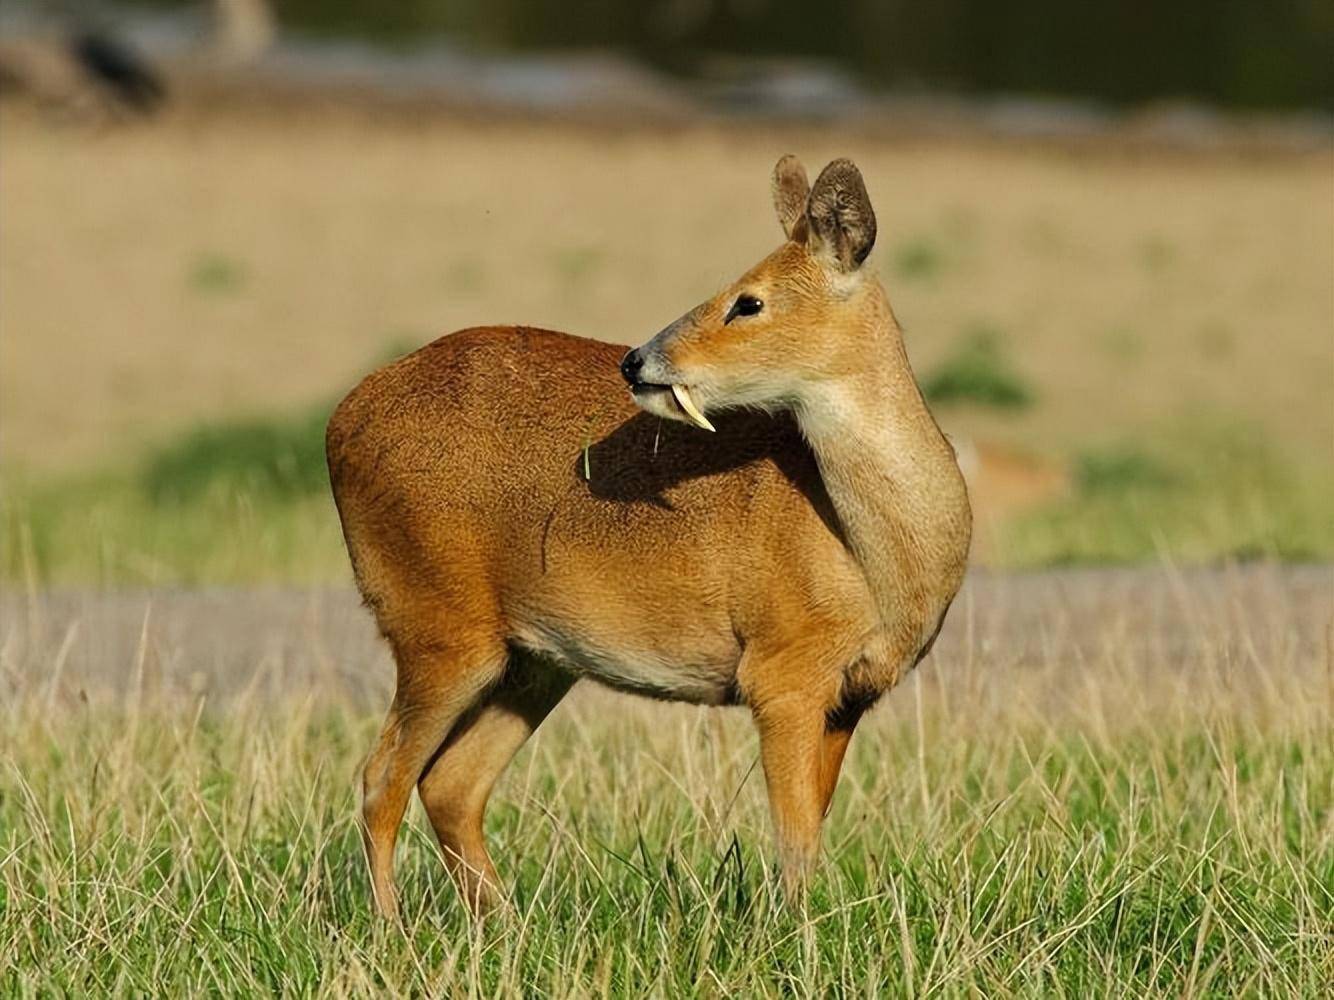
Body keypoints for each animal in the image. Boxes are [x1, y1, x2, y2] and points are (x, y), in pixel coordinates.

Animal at [322, 154, 971, 917]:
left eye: (748, 302)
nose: (637, 360)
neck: (874, 555)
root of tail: (341, 422)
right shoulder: (781, 670)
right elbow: (794, 838)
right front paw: (795, 932)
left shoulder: (851, 695)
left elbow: (810, 826)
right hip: (436, 626)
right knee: (380, 779)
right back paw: (394, 928)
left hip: (532, 661)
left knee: (449, 783)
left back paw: (505, 925)